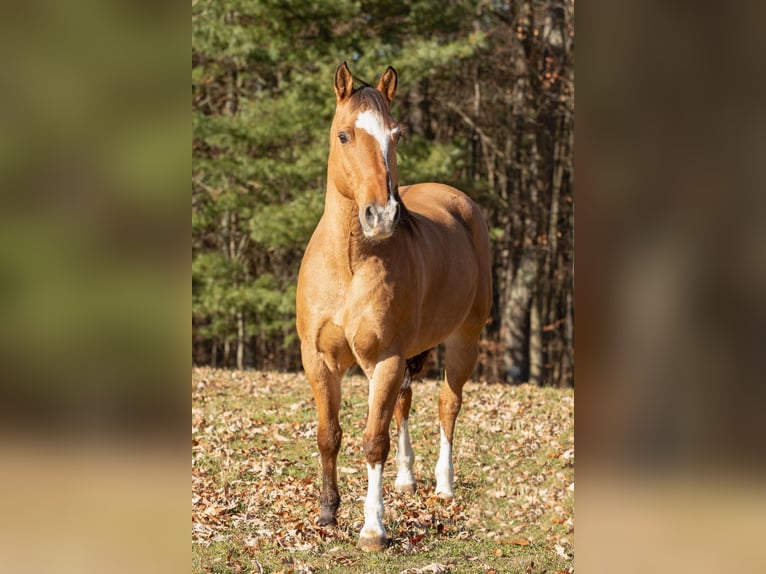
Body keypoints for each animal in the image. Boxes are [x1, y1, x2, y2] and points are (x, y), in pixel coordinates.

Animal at [296, 63, 496, 552]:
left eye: (396, 134)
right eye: (344, 135)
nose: (381, 215)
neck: (350, 261)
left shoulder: (383, 360)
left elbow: (373, 442)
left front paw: (373, 528)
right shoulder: (319, 360)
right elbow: (329, 435)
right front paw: (328, 514)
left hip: (464, 340)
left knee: (448, 404)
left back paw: (443, 485)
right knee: (406, 401)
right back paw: (407, 480)